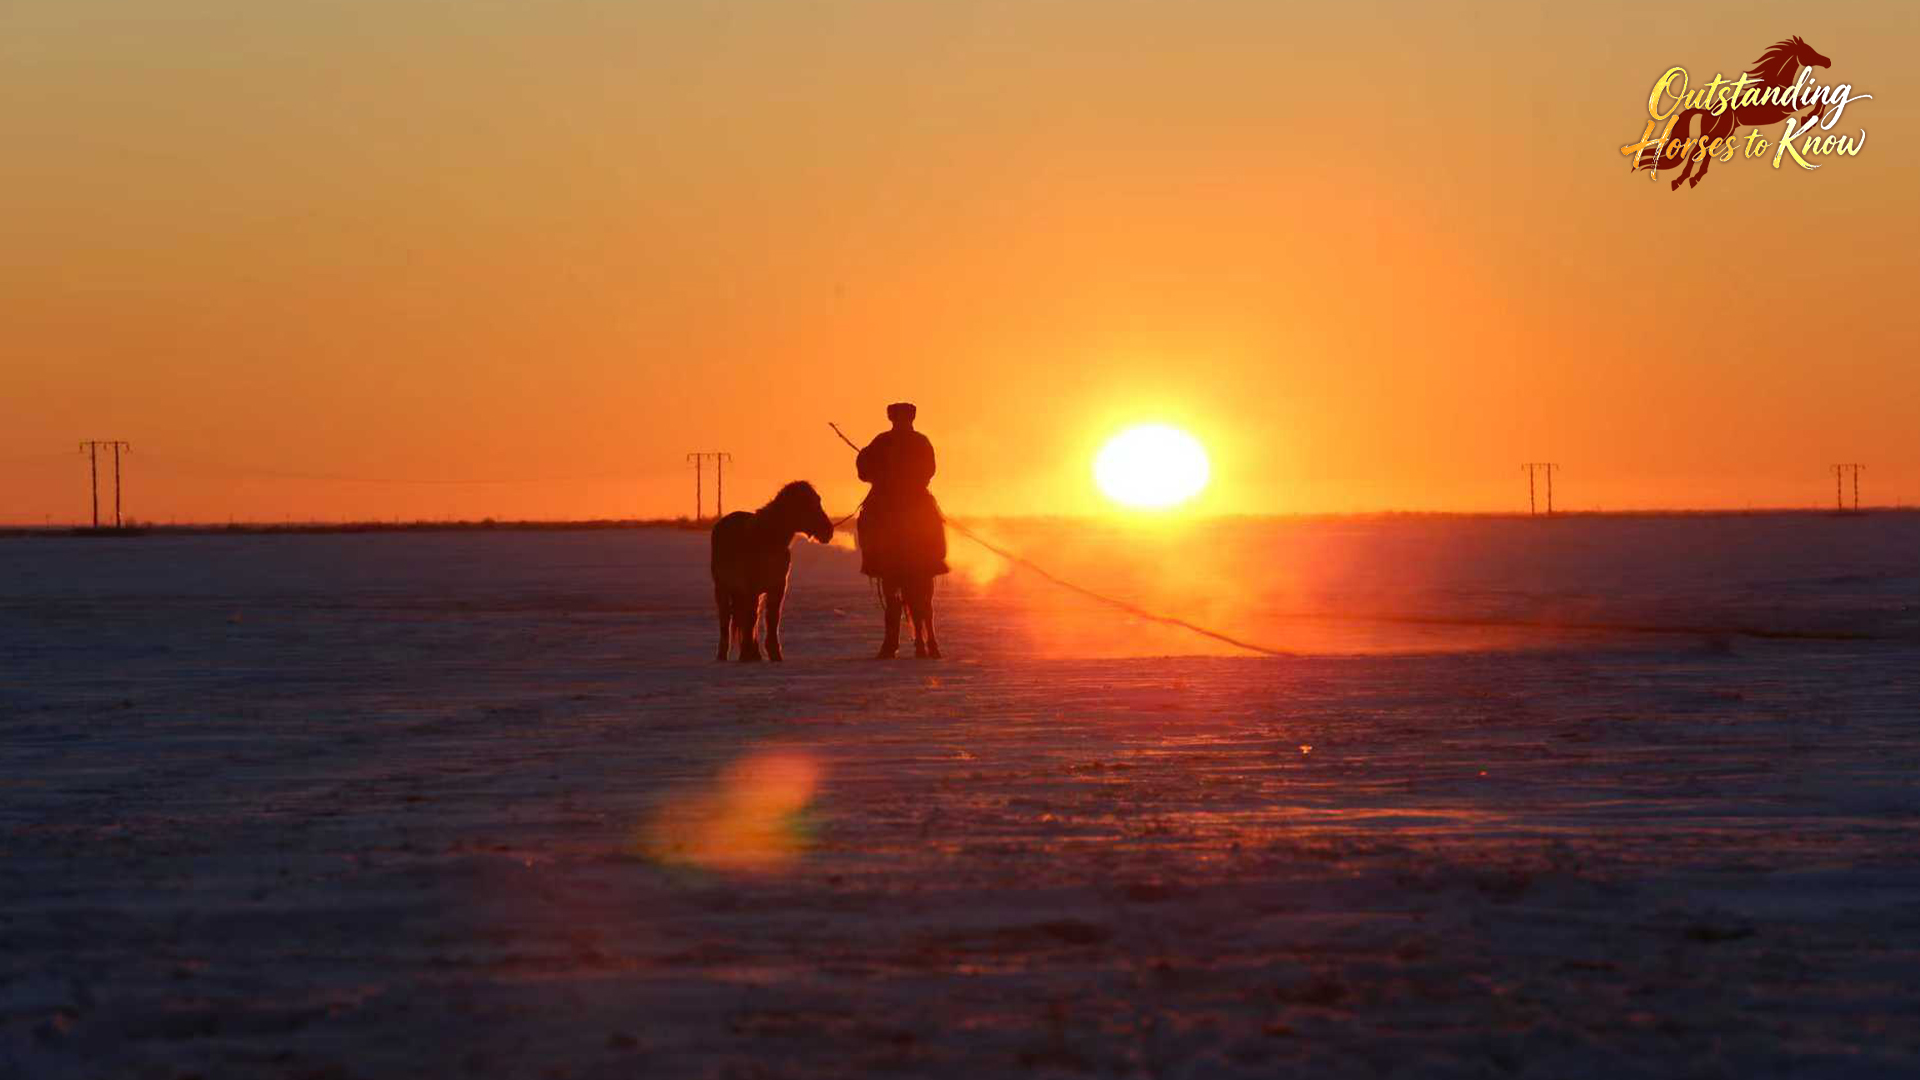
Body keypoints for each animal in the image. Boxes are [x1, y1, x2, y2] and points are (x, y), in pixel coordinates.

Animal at [709, 481, 834, 662]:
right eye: (810, 504)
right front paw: (747, 654)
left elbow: (772, 619)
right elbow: (752, 619)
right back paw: (724, 654)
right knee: (727, 619)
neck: (768, 538)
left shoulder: (777, 587)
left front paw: (774, 654)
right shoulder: (751, 588)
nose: (828, 531)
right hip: (722, 589)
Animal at [1638, 36, 1830, 191]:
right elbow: (1816, 96)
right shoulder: (1787, 107)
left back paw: (1694, 179)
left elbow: (1819, 95)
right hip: (1716, 132)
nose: (1828, 61)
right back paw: (1680, 181)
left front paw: (1810, 118)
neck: (1776, 83)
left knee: (1706, 152)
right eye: (1808, 51)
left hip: (1721, 134)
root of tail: (1707, 111)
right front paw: (1809, 119)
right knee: (1696, 152)